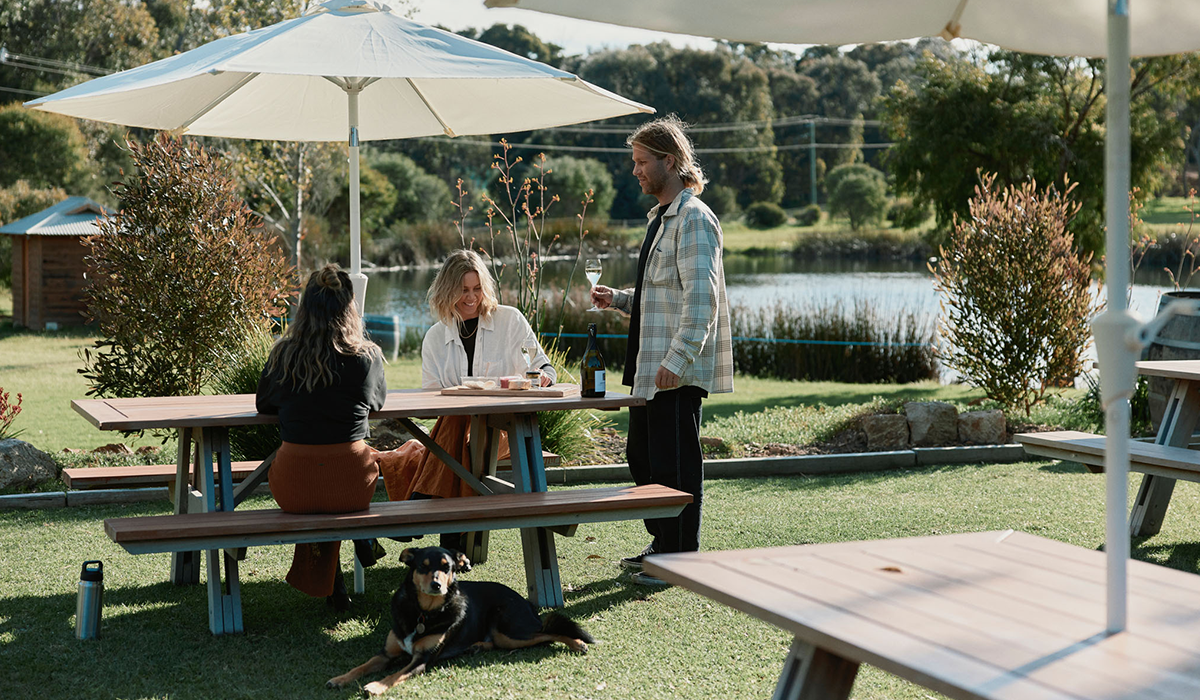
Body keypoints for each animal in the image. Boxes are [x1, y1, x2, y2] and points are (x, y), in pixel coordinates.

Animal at [326, 545, 592, 691]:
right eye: (422, 566)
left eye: (447, 567)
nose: (436, 585)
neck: (424, 612)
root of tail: (526, 601)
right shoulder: (386, 654)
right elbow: (361, 666)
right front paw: (340, 679)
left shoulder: (421, 660)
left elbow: (395, 674)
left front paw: (376, 686)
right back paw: (476, 646)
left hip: (510, 630)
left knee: (548, 631)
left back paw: (577, 642)